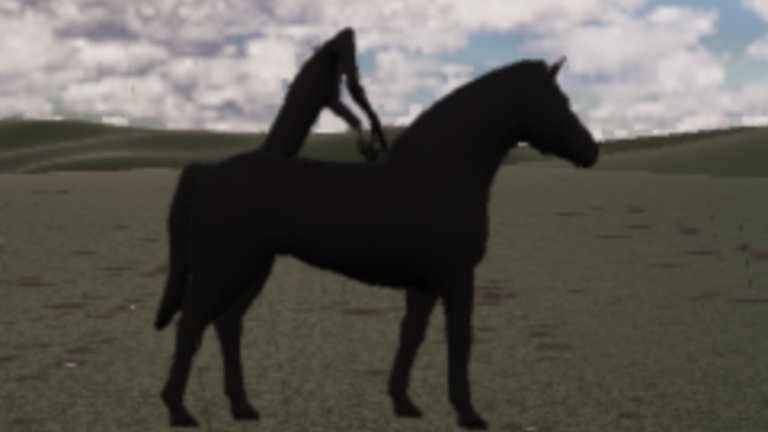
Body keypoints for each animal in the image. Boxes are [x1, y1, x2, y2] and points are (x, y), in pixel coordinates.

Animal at [154, 56, 598, 430]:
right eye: (557, 101)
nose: (592, 152)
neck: (439, 174)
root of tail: (210, 172)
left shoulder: (425, 285)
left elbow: (411, 335)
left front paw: (404, 403)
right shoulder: (457, 278)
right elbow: (459, 338)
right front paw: (469, 414)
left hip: (253, 268)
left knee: (227, 324)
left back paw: (243, 407)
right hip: (225, 268)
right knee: (191, 323)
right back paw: (180, 411)